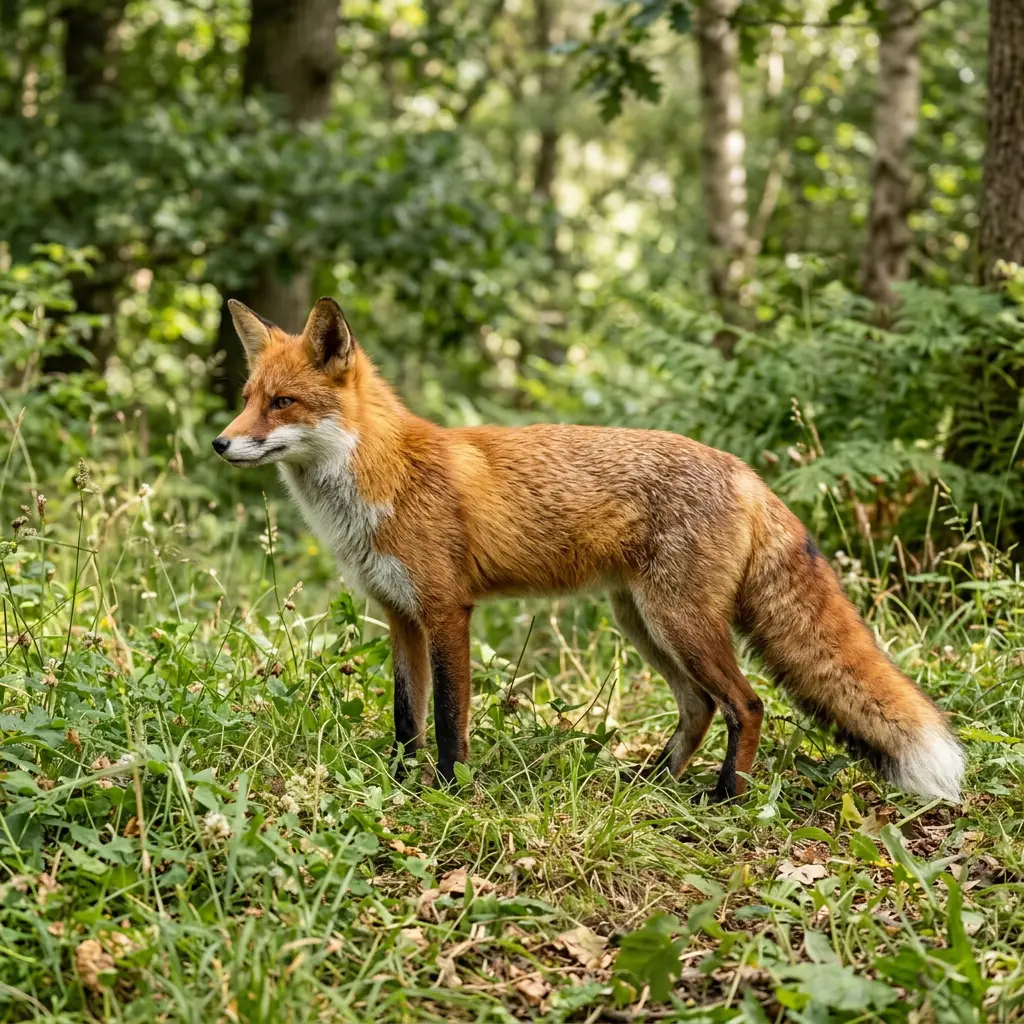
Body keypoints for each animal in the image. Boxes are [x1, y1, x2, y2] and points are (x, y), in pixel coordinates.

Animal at [213, 296, 965, 803]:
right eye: (247, 398)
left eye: (283, 403)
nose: (220, 444)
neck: (384, 478)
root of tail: (744, 469)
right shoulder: (400, 615)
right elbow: (406, 718)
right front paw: (401, 786)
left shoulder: (448, 611)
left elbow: (451, 720)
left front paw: (450, 794)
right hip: (642, 623)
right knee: (698, 707)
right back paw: (650, 782)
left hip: (680, 623)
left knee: (747, 704)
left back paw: (726, 795)